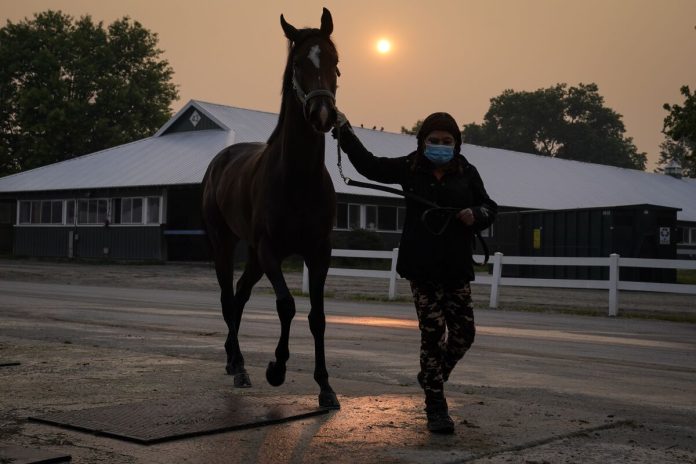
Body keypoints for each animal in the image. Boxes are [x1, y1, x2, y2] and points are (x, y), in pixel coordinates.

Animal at [200, 8, 342, 410]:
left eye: (335, 62)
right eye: (297, 64)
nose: (322, 114)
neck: (297, 177)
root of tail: (220, 161)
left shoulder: (319, 251)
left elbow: (317, 316)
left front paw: (325, 387)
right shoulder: (270, 250)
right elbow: (286, 305)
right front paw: (276, 369)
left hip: (252, 256)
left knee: (240, 295)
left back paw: (233, 361)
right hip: (224, 243)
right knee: (227, 297)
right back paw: (241, 367)